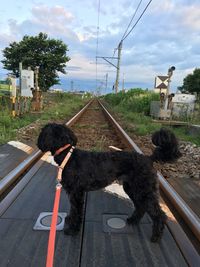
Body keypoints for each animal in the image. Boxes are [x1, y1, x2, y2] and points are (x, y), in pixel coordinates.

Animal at [37, 123, 181, 243]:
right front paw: (70, 219)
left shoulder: (77, 194)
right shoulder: (73, 194)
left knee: (159, 214)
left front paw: (73, 230)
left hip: (144, 189)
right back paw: (133, 220)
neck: (68, 156)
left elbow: (77, 211)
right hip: (132, 188)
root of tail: (148, 158)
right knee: (141, 206)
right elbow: (73, 209)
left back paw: (156, 237)